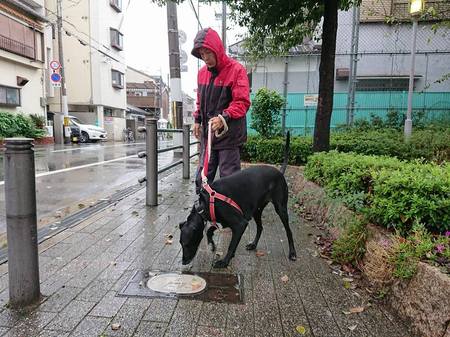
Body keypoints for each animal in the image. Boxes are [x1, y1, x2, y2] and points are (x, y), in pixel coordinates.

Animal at [179, 133, 296, 266]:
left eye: (186, 244)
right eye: (180, 243)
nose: (183, 262)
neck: (205, 203)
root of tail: (279, 172)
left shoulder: (240, 224)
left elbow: (231, 246)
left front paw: (224, 262)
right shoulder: (222, 221)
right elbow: (210, 230)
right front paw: (212, 244)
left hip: (281, 209)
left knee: (288, 231)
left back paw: (292, 253)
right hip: (256, 211)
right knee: (260, 228)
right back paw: (253, 244)